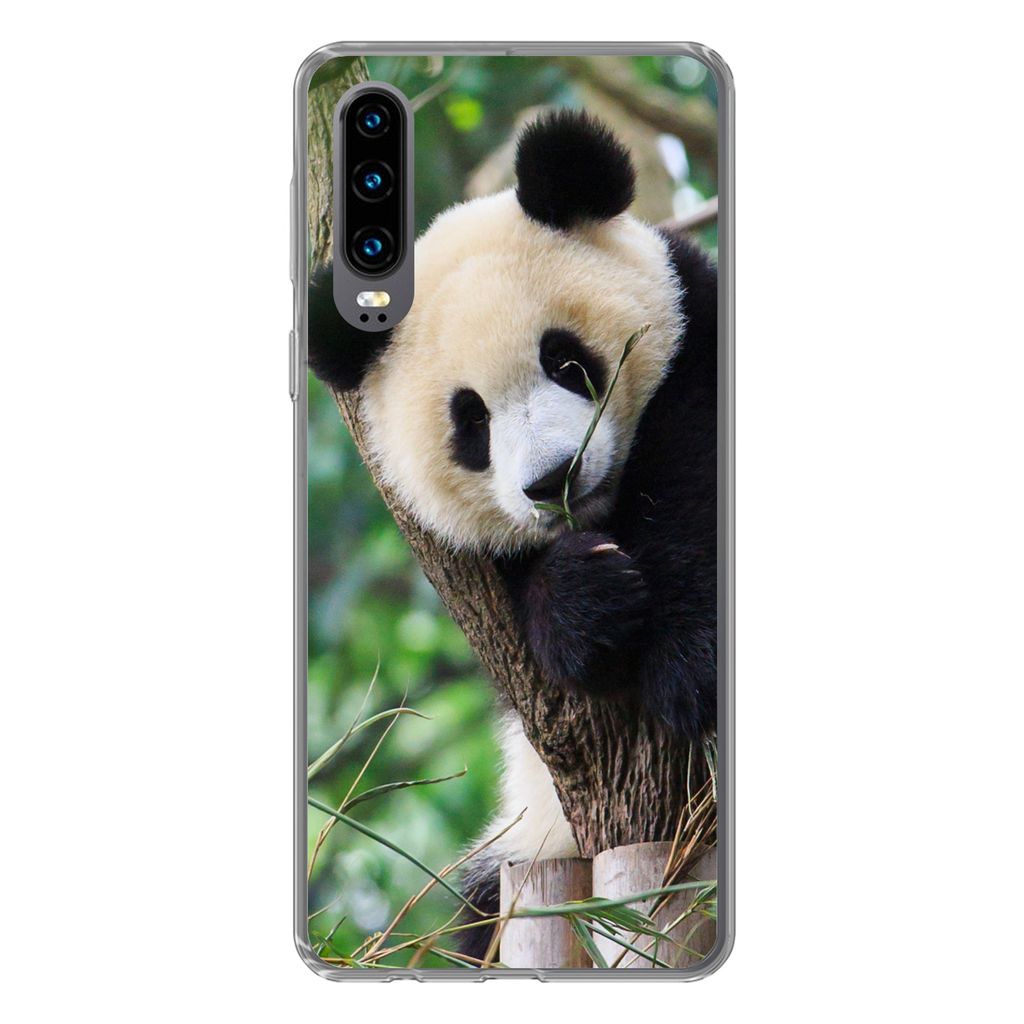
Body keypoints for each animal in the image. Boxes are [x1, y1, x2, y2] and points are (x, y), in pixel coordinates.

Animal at [308, 110, 717, 963]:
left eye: (565, 359)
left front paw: (688, 668)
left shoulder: (700, 337)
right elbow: (518, 628)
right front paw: (584, 601)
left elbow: (697, 478)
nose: (554, 479)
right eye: (471, 422)